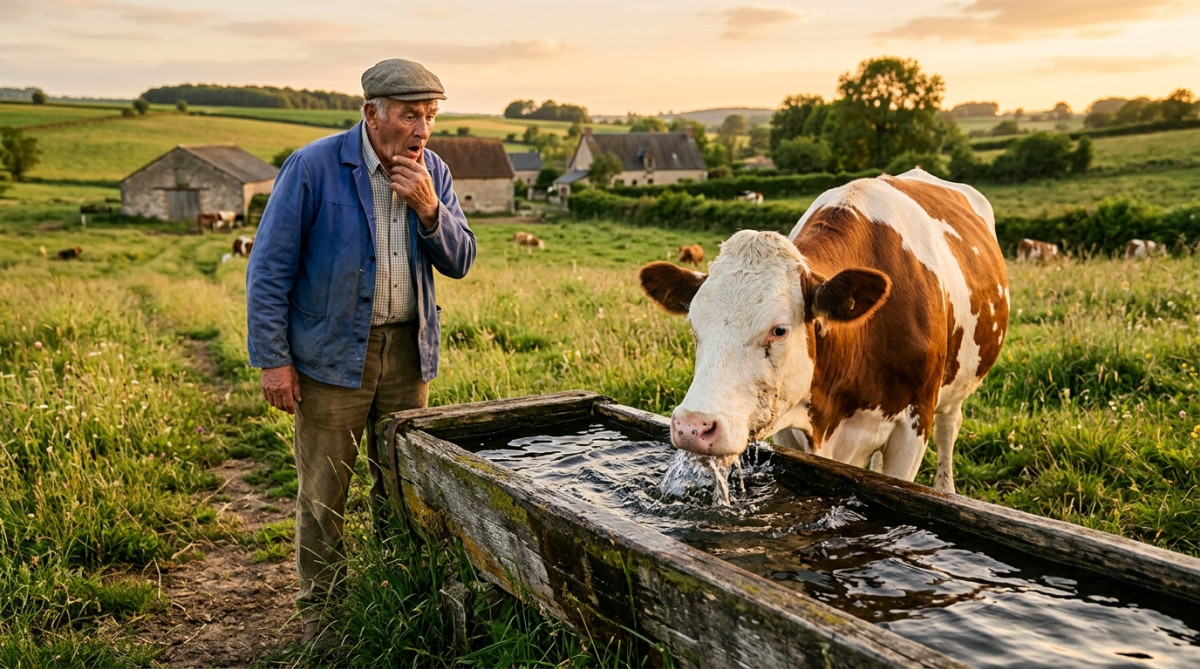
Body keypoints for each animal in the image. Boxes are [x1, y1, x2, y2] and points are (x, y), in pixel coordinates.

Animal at [639, 169, 1009, 494]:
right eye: (694, 324)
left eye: (779, 330)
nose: (693, 427)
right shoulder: (792, 427)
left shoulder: (913, 427)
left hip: (955, 389)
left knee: (949, 429)